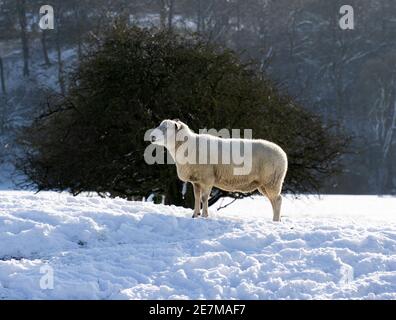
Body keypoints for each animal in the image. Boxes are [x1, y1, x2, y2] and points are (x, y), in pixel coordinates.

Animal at [149, 119, 288, 221]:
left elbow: (204, 198)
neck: (188, 146)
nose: (152, 137)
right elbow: (197, 197)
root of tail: (283, 154)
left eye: (166, 128)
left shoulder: (207, 178)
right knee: (274, 201)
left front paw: (205, 215)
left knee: (278, 200)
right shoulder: (196, 181)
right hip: (265, 184)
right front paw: (195, 215)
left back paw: (276, 221)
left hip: (272, 181)